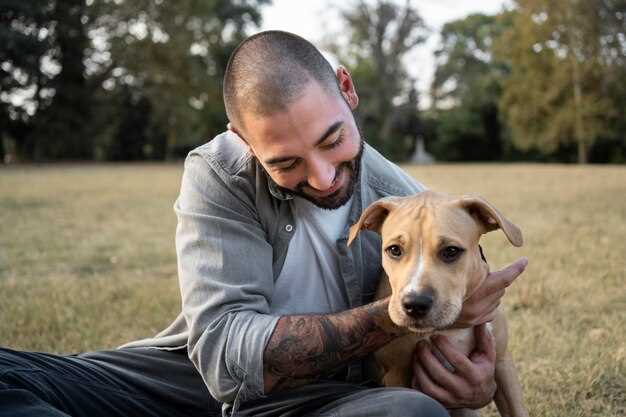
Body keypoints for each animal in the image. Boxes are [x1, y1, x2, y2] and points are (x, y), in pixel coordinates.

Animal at [346, 191, 528, 416]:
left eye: (451, 251)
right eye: (394, 250)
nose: (415, 304)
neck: (450, 327)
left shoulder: (502, 363)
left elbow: (517, 410)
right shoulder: (396, 372)